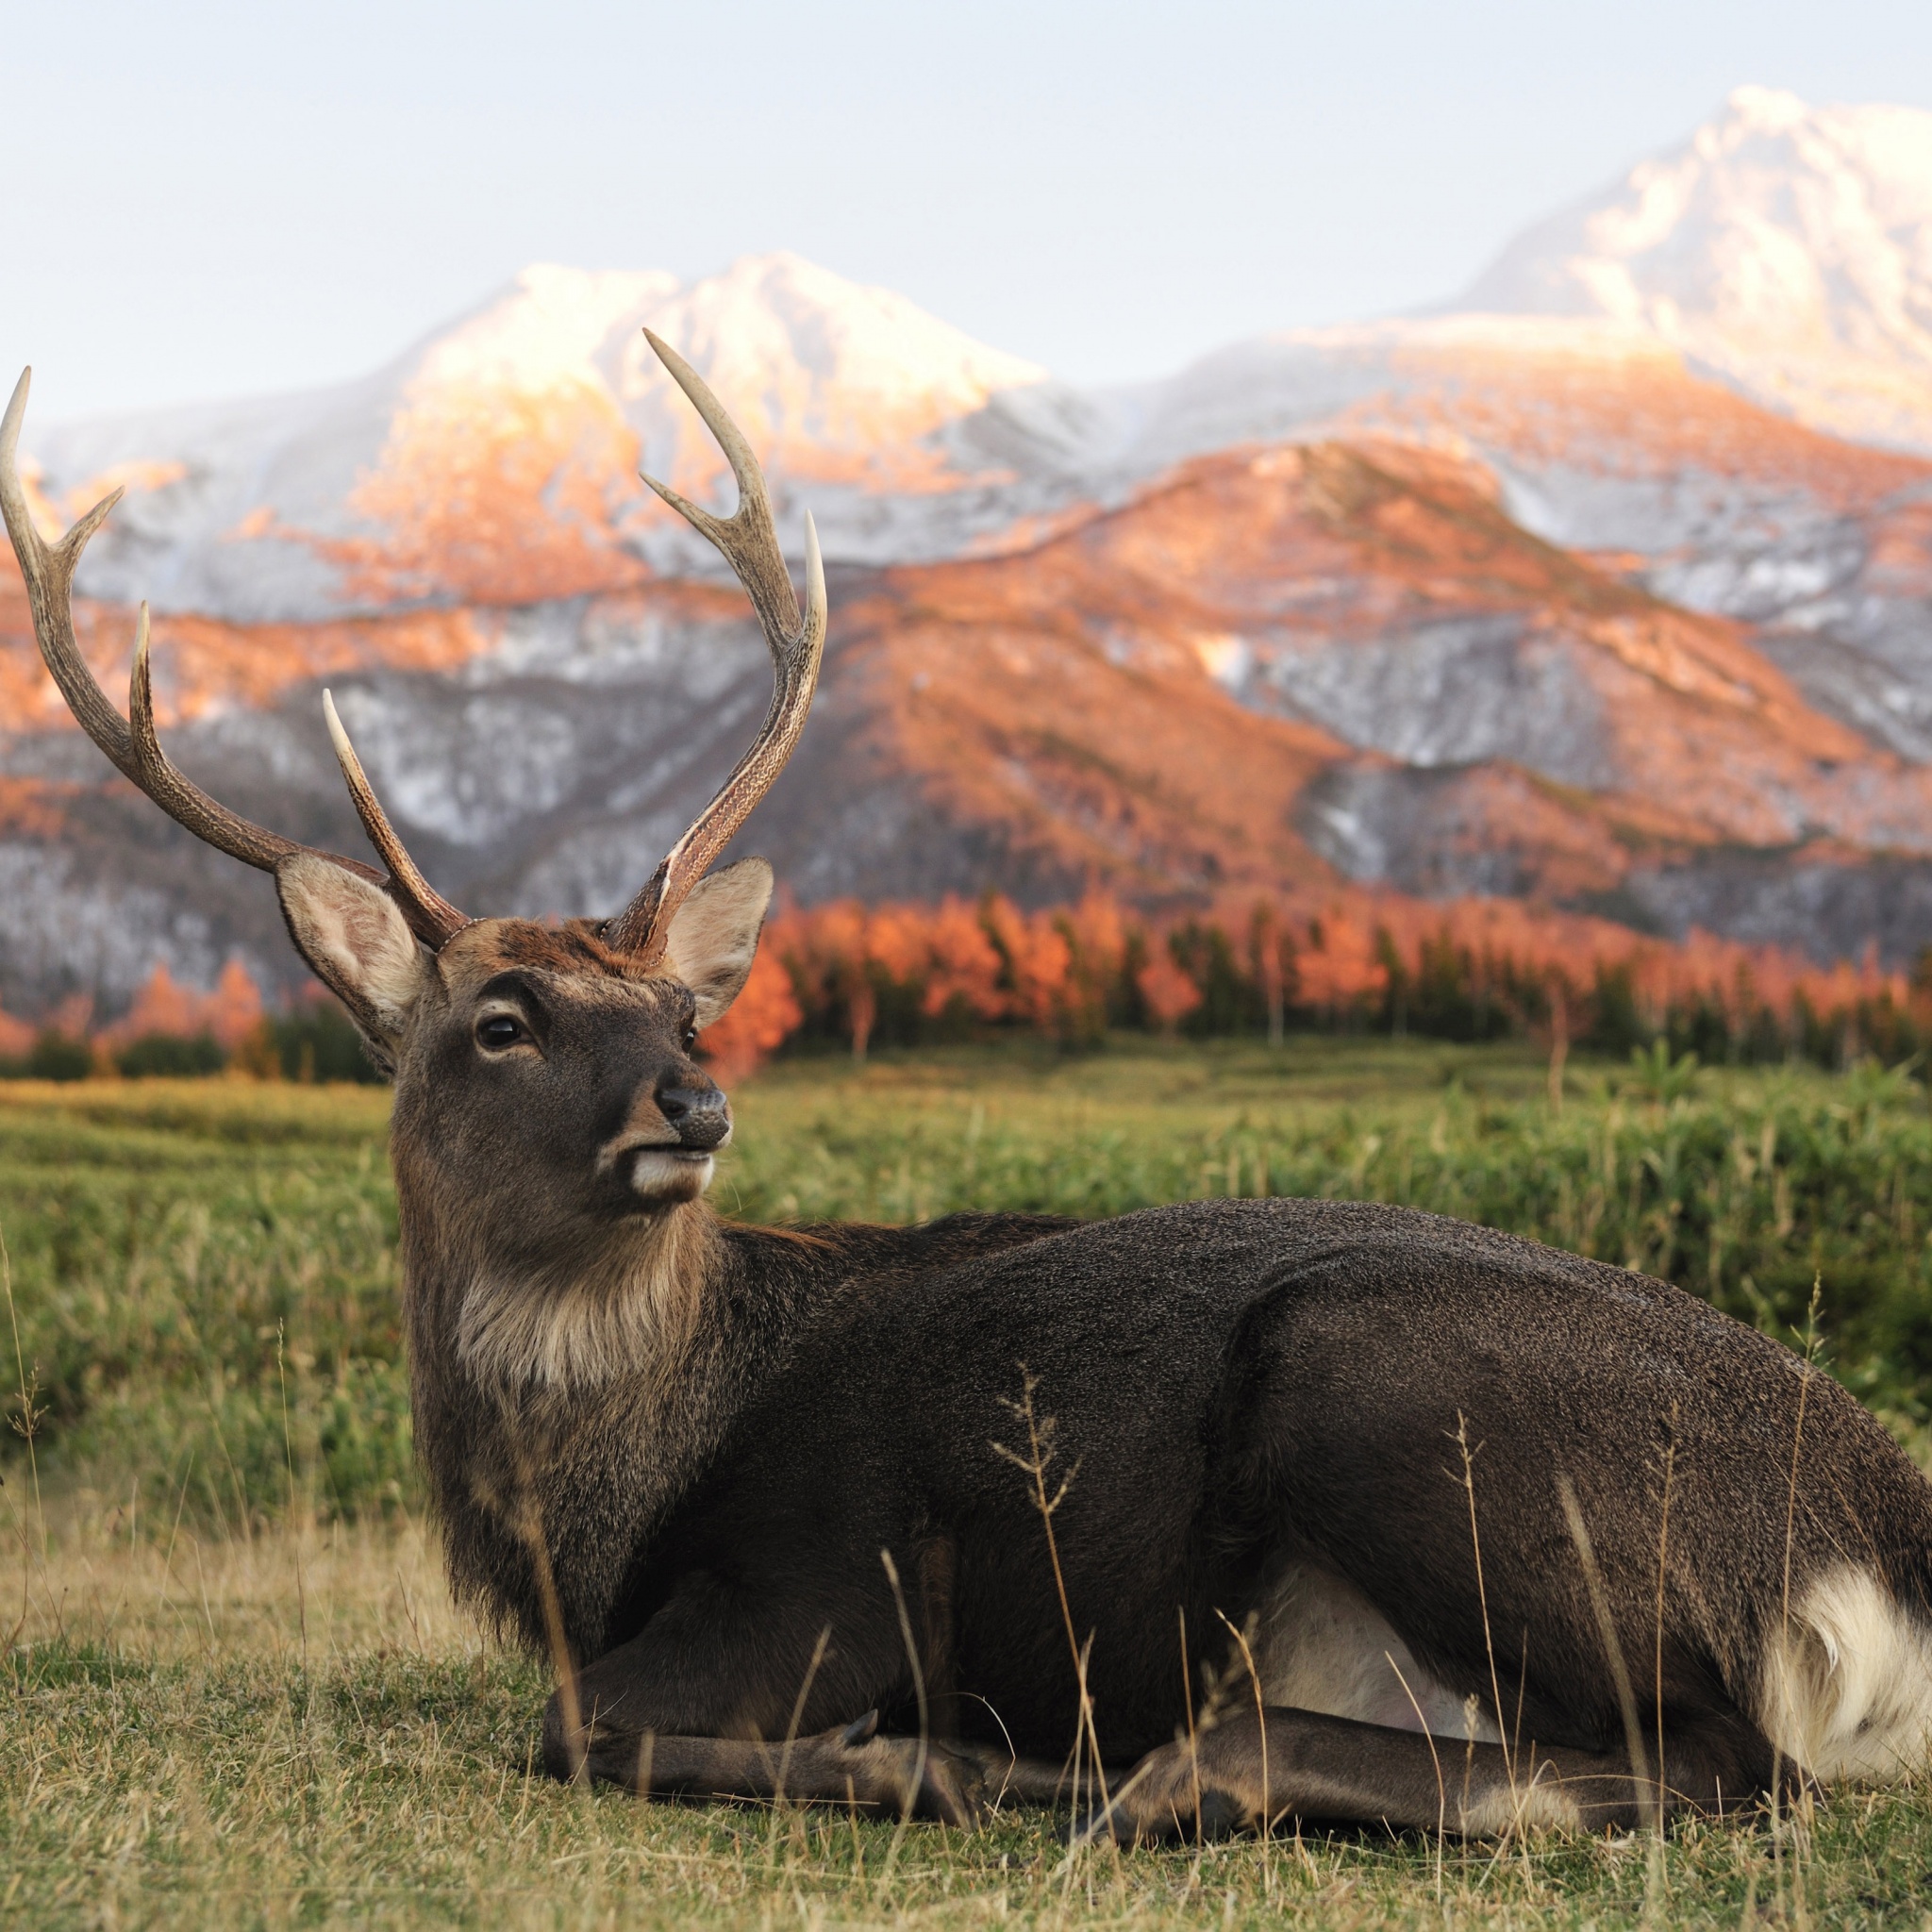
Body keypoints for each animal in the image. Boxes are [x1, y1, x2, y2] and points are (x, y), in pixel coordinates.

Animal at [4, 343, 1932, 1839]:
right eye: (500, 1017)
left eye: (681, 1006)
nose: (690, 1106)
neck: (593, 1516)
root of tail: (1878, 1541)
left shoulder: (824, 1582)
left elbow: (574, 1727)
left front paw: (904, 1757)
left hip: (1389, 1388)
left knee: (1720, 1764)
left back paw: (1104, 1770)